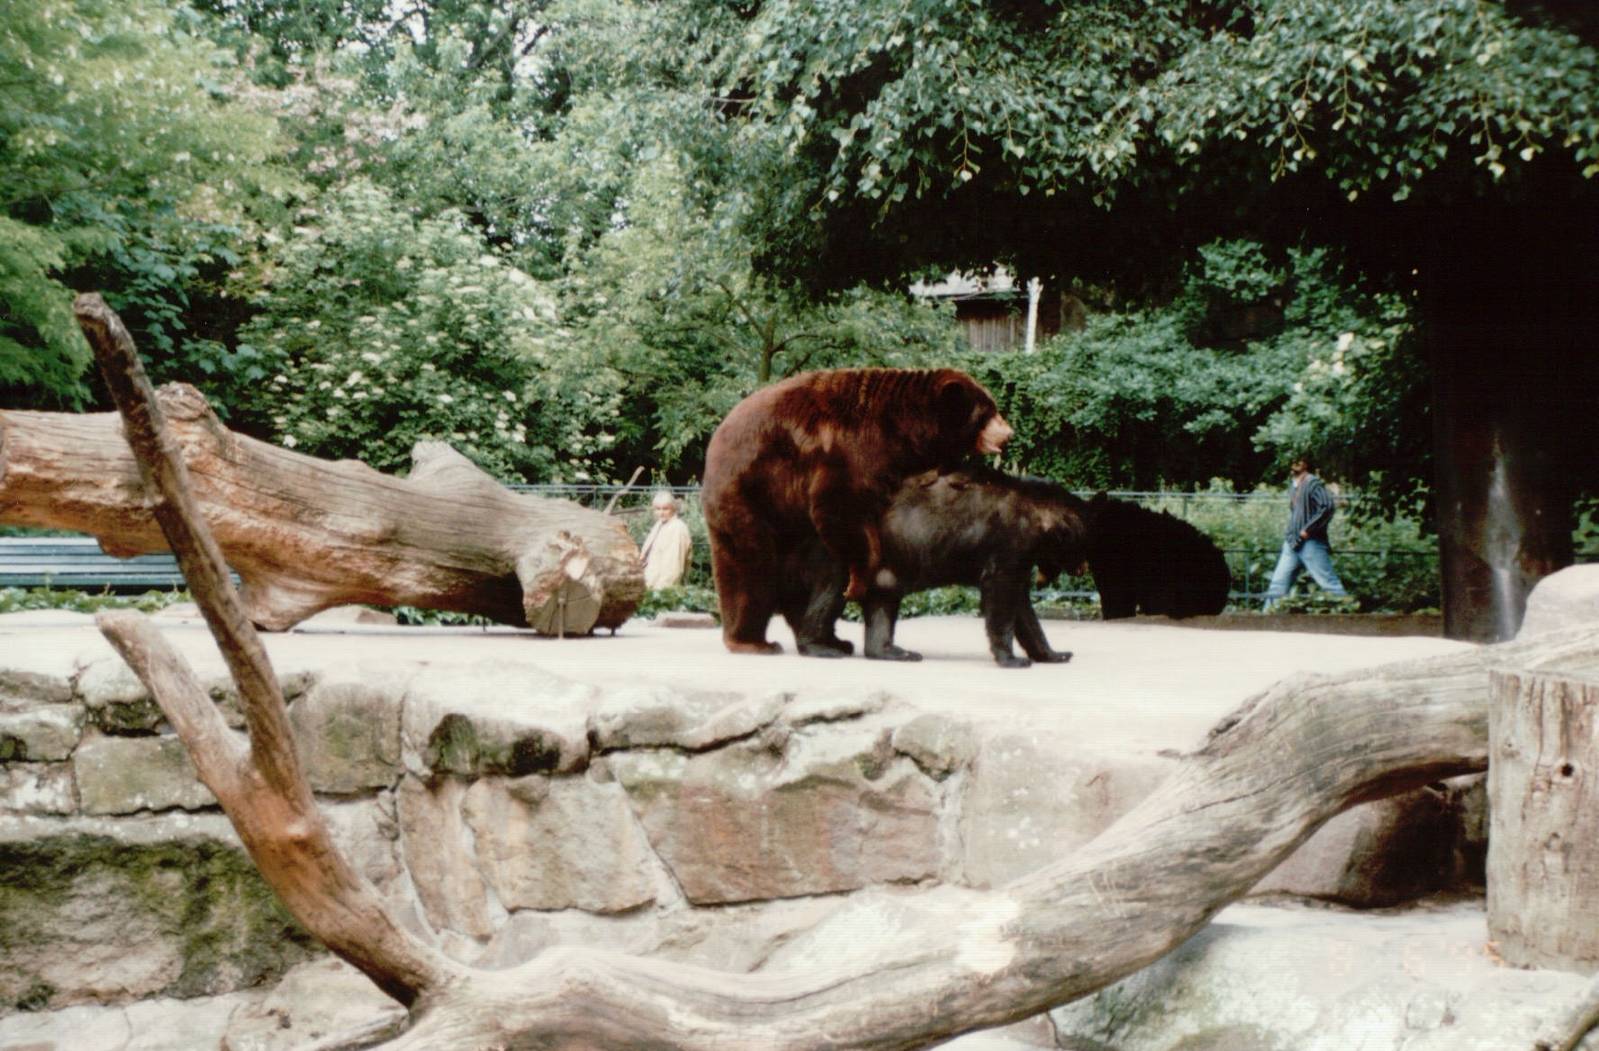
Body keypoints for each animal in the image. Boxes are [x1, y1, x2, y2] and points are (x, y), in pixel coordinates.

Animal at [701, 367, 1012, 655]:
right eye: (989, 410)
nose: (1008, 433)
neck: (902, 428)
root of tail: (716, 442)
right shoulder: (849, 449)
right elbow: (840, 507)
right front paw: (859, 580)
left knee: (802, 581)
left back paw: (831, 640)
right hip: (751, 497)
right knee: (752, 569)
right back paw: (752, 641)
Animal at [783, 466, 1088, 668]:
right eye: (1081, 548)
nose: (1082, 569)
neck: (1037, 515)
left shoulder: (1020, 555)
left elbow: (1022, 606)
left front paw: (1055, 653)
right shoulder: (1009, 542)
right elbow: (1001, 596)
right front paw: (1011, 658)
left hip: (885, 562)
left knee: (882, 601)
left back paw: (895, 651)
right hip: (845, 549)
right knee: (831, 592)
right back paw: (819, 646)